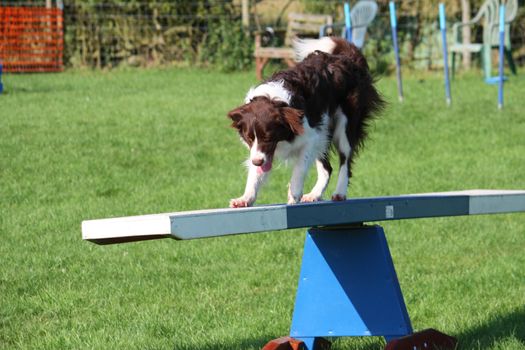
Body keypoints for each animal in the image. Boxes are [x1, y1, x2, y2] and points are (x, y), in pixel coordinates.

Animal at [227, 37, 382, 208]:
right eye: (248, 138)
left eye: (268, 137)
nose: (256, 161)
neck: (273, 99)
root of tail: (346, 58)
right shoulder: (261, 150)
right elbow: (255, 174)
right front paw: (245, 198)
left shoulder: (310, 137)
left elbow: (300, 167)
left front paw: (294, 192)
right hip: (324, 132)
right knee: (327, 167)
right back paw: (315, 194)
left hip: (344, 124)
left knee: (345, 159)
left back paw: (340, 192)